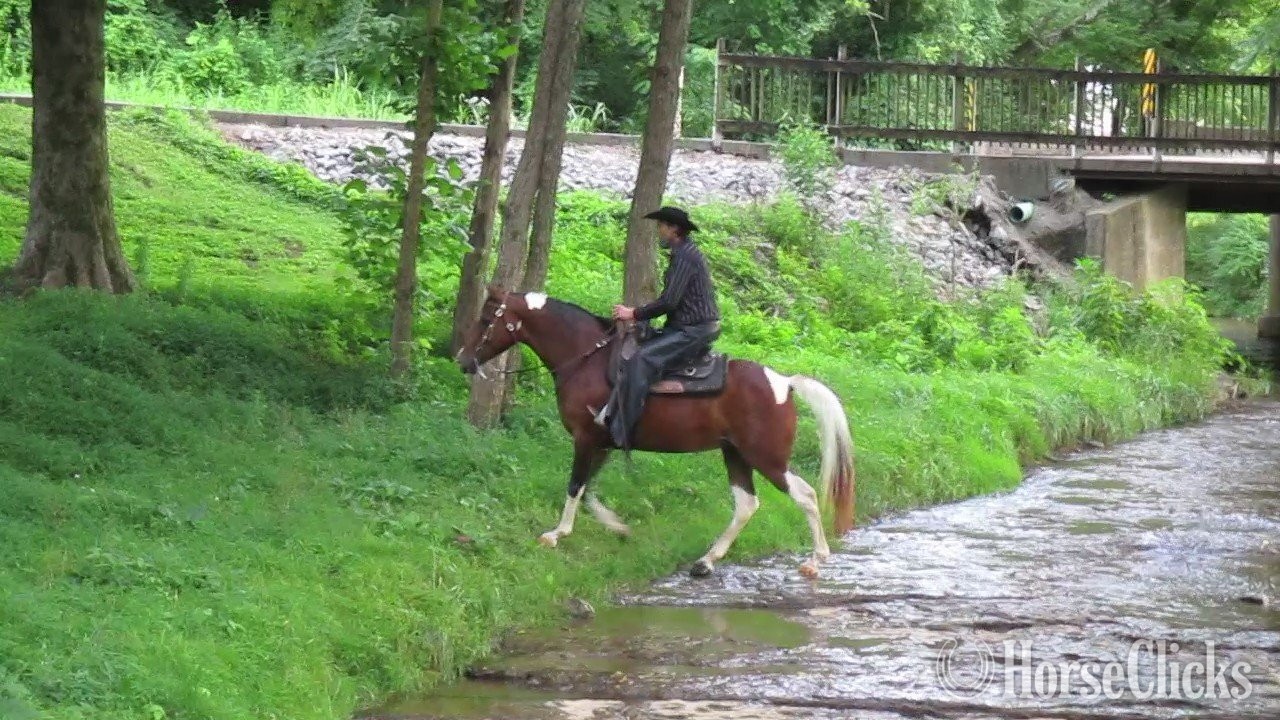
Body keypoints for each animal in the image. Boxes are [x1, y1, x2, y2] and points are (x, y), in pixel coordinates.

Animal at [456, 286, 856, 579]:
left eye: (487, 318)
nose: (462, 360)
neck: (585, 359)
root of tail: (785, 383)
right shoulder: (603, 443)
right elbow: (588, 490)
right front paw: (619, 528)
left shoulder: (585, 439)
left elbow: (575, 486)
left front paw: (556, 535)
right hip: (735, 453)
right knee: (746, 504)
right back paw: (706, 561)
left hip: (766, 457)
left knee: (804, 495)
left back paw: (815, 560)